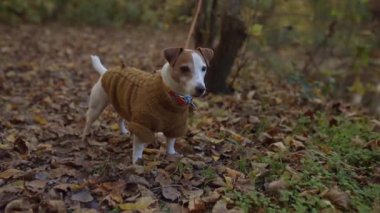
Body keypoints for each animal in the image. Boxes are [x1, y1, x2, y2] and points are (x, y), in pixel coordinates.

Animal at [81, 47, 212, 163]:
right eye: (184, 68)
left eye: (204, 68)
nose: (201, 89)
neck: (169, 94)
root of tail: (105, 72)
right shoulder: (142, 125)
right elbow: (138, 146)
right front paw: (137, 161)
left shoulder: (176, 126)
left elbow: (171, 141)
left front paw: (171, 154)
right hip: (96, 107)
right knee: (88, 121)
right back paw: (84, 135)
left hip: (122, 104)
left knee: (120, 118)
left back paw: (123, 131)